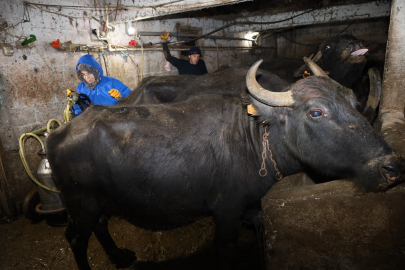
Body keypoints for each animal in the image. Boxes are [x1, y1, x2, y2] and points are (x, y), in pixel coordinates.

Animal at [45, 61, 402, 270]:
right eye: (316, 112)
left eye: (354, 102)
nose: (392, 165)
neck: (255, 139)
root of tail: (57, 134)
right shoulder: (227, 212)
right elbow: (226, 251)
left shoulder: (254, 207)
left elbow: (261, 236)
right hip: (81, 204)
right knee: (75, 238)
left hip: (101, 202)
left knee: (100, 228)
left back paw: (120, 258)